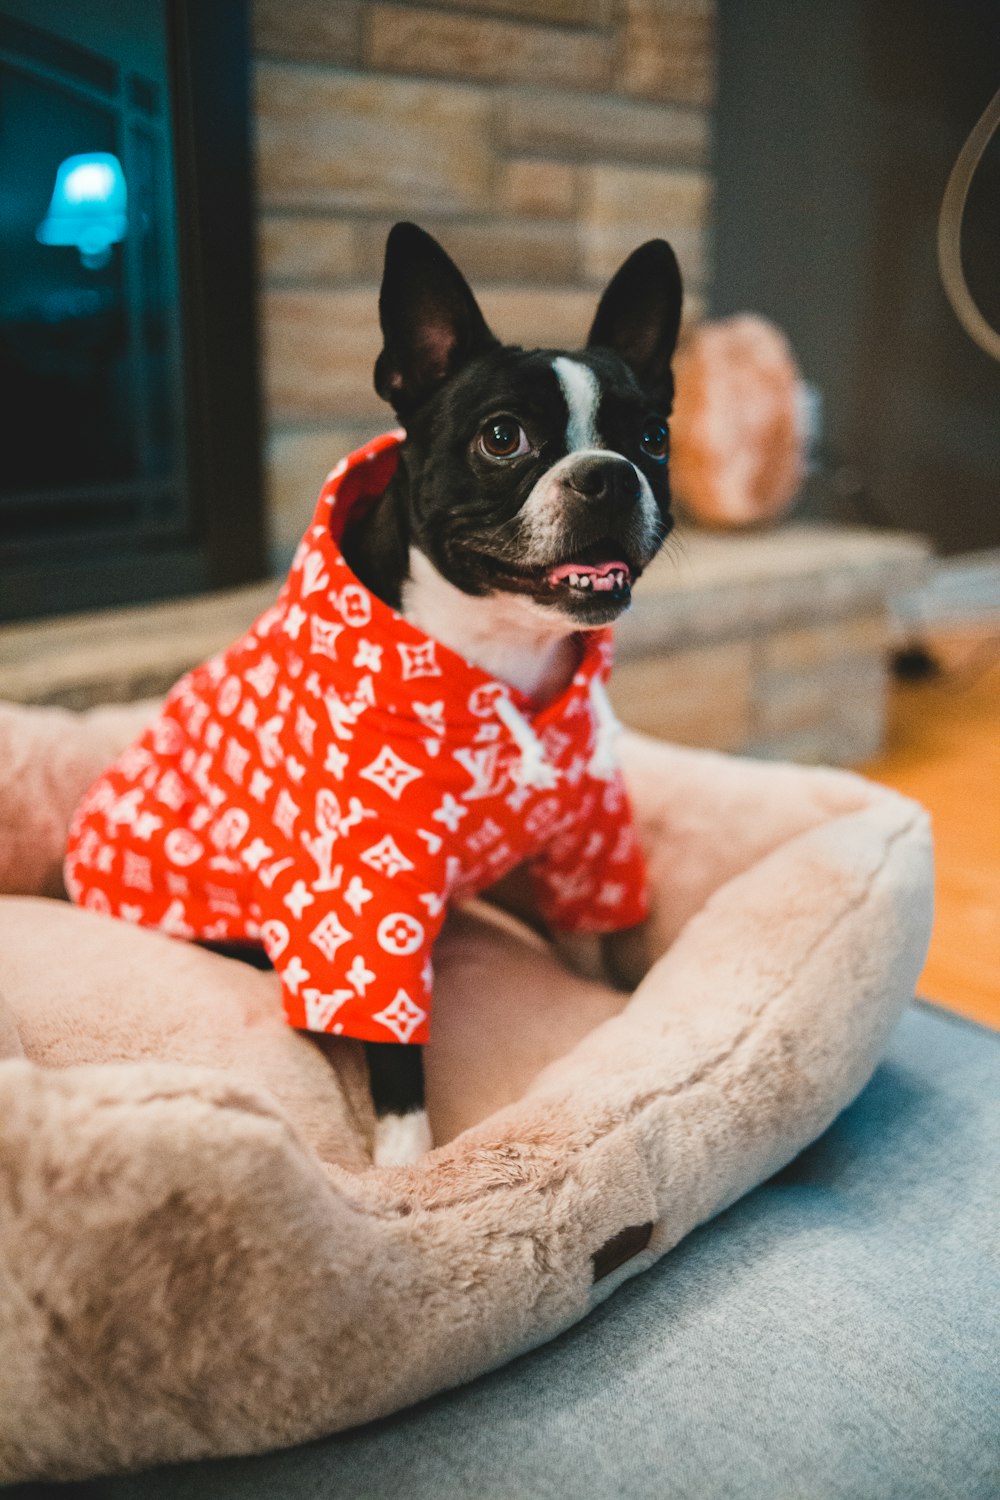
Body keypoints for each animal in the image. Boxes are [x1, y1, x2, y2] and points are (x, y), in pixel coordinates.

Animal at [335, 222, 680, 1158]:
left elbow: (592, 939)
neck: (504, 649)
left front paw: (614, 1002)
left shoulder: (586, 836)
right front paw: (404, 1167)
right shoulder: (371, 899)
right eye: (502, 437)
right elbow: (393, 1051)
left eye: (654, 439)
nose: (609, 472)